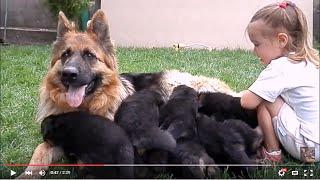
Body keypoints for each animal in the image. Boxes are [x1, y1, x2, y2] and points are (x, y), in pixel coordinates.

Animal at [18, 9, 236, 177]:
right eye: (65, 55)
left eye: (89, 55)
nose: (68, 74)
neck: (86, 107)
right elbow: (39, 151)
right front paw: (27, 174)